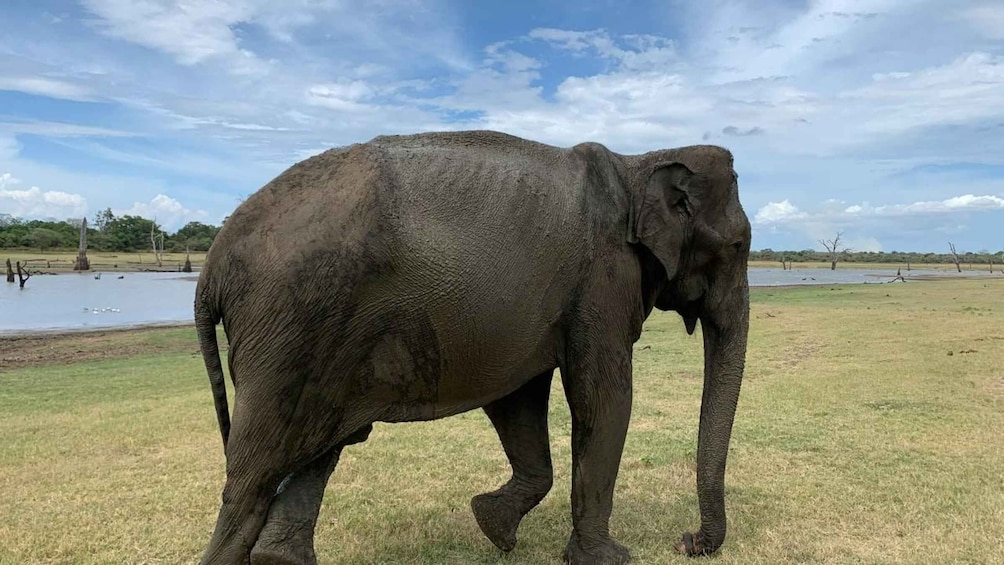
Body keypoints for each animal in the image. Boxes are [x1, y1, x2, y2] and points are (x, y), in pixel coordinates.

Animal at [193, 129, 746, 565]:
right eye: (739, 246)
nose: (686, 541)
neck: (640, 163)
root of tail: (211, 266)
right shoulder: (602, 283)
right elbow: (605, 400)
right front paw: (606, 558)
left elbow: (519, 400)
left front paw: (492, 526)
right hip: (290, 327)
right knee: (253, 477)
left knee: (320, 449)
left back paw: (278, 556)